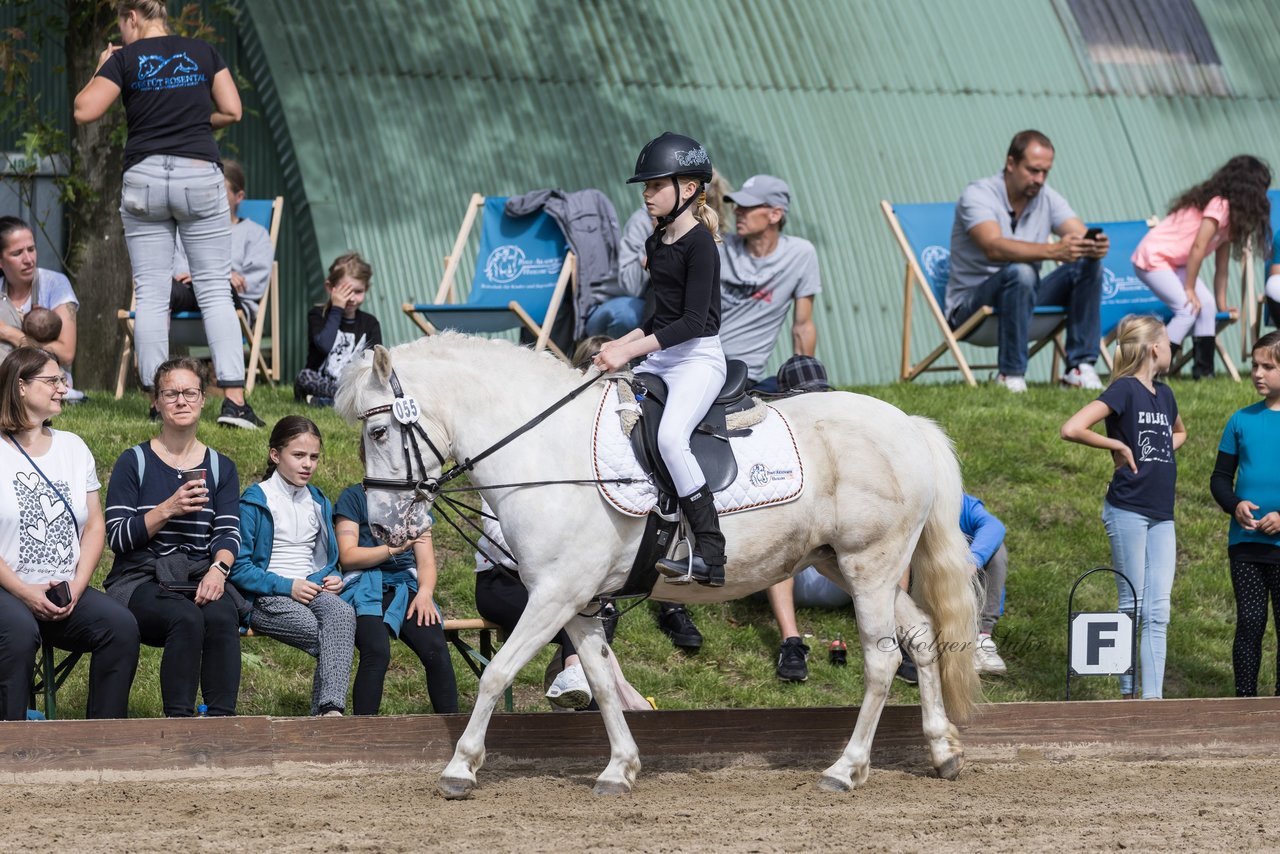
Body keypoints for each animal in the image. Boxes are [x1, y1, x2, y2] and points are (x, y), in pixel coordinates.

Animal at [340, 332, 977, 793]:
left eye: (379, 431)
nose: (383, 528)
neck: (545, 449)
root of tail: (908, 425)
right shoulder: (575, 600)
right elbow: (599, 680)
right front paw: (619, 769)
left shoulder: (553, 594)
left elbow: (497, 673)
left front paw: (459, 768)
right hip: (849, 566)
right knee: (922, 637)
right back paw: (942, 751)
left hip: (869, 565)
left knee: (881, 659)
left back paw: (845, 769)